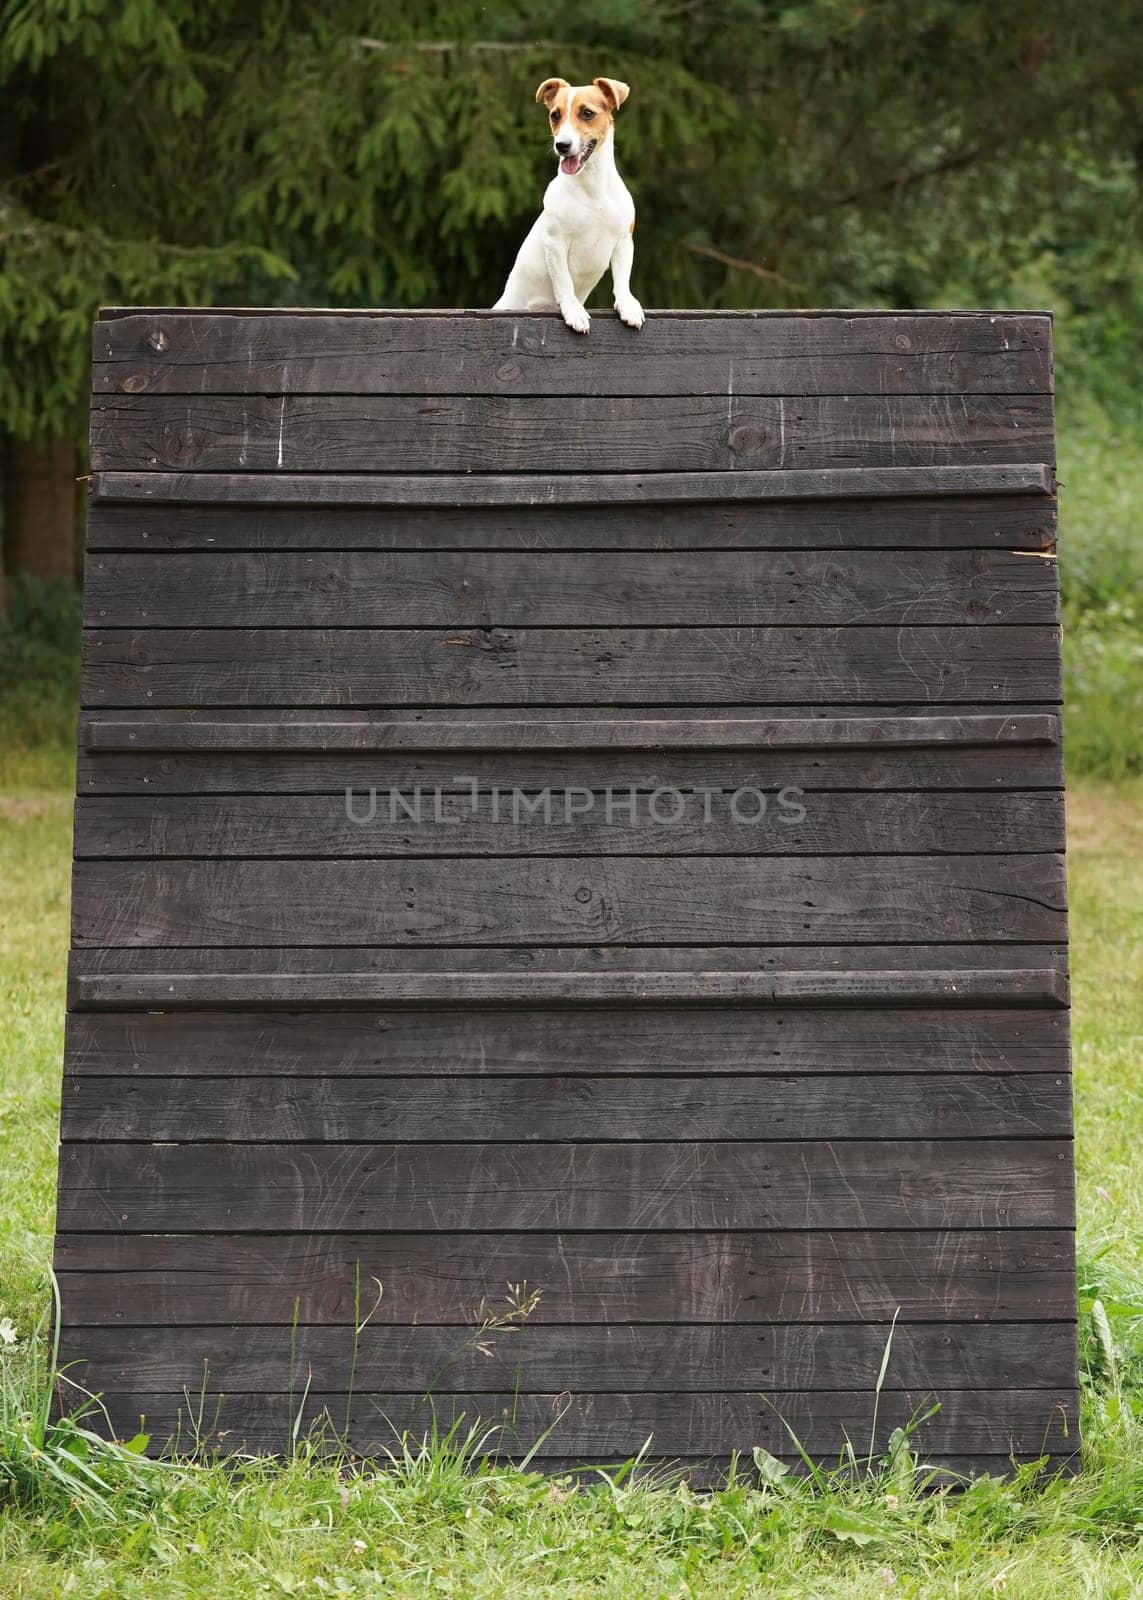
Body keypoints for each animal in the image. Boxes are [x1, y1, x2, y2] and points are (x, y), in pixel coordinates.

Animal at [493, 79, 640, 336]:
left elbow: (622, 279)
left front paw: (628, 306)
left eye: (587, 113)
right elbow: (564, 281)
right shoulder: (555, 242)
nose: (562, 145)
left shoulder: (624, 240)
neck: (592, 190)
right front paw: (573, 311)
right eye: (555, 115)